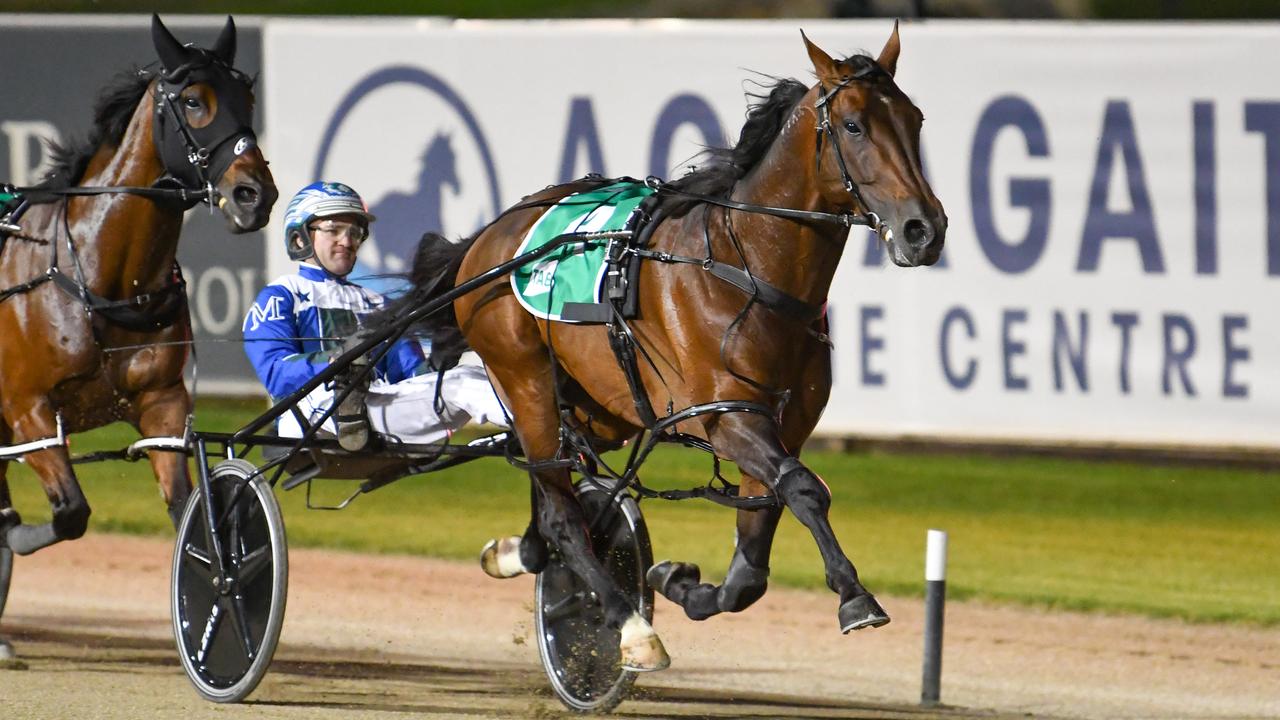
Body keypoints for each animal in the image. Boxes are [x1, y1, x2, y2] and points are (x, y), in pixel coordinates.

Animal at [0, 15, 277, 556]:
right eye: (193, 101)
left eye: (248, 99)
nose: (255, 194)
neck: (99, 281)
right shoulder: (27, 410)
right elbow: (70, 512)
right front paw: (13, 531)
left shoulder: (163, 403)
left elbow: (187, 509)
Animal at [404, 26, 947, 666]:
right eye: (855, 125)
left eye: (915, 119)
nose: (924, 229)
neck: (749, 270)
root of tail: (490, 237)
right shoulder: (727, 415)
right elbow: (805, 489)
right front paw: (855, 596)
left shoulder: (785, 423)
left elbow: (754, 559)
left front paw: (682, 582)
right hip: (523, 374)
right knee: (560, 508)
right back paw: (629, 625)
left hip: (601, 406)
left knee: (548, 480)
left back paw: (522, 552)